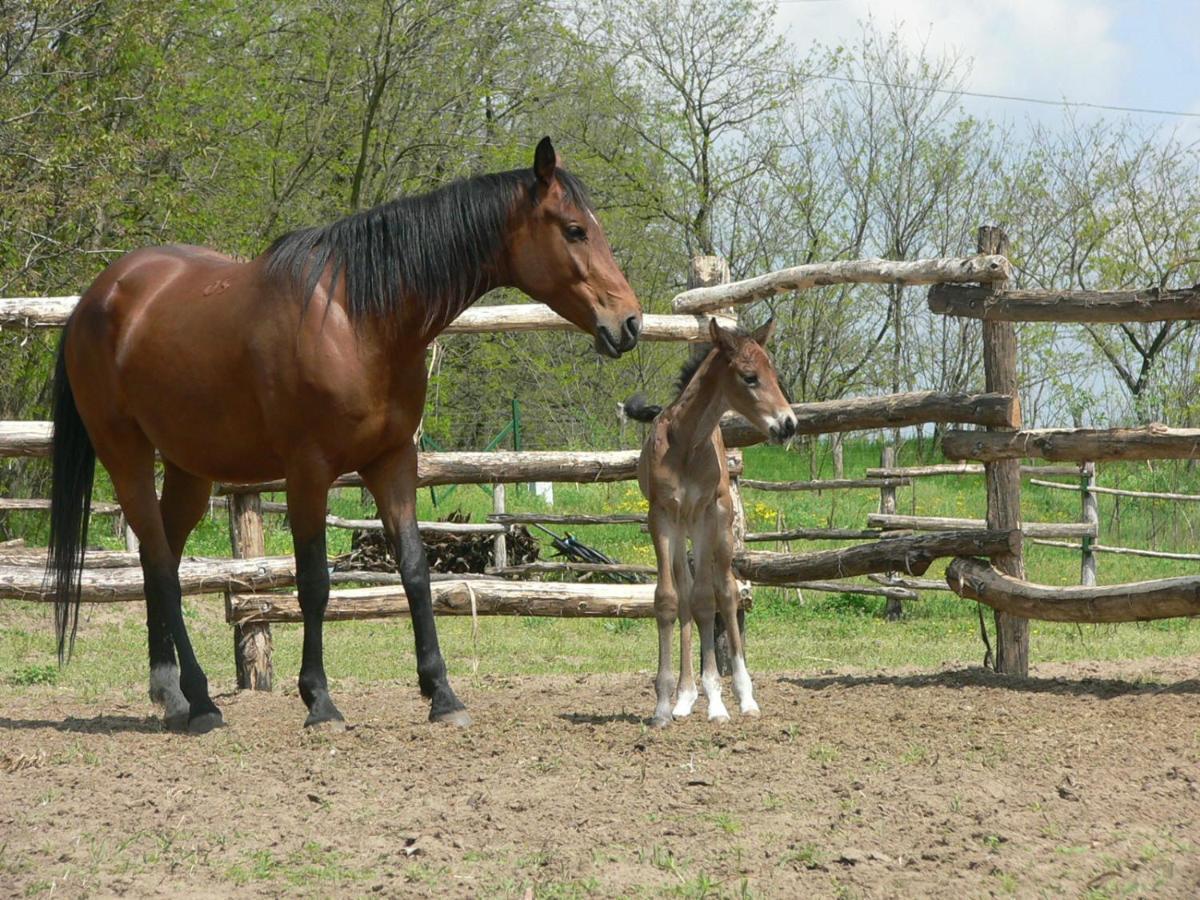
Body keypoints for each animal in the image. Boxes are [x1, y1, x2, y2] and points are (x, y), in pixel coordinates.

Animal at [624, 321, 792, 729]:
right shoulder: (661, 516)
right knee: (685, 594)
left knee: (727, 594)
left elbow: (706, 601)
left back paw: (744, 697)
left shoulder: (704, 515)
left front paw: (716, 702)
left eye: (774, 375)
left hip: (721, 526)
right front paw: (664, 704)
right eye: (750, 377)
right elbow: (669, 600)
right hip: (681, 529)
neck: (686, 442)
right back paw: (685, 697)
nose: (789, 424)